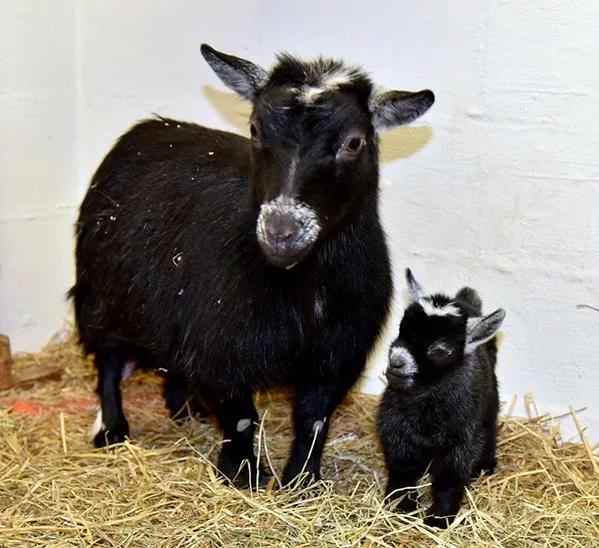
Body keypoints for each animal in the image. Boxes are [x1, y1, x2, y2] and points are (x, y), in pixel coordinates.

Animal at [70, 45, 436, 486]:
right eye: (255, 128)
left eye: (354, 142)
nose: (281, 230)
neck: (300, 285)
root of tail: (147, 128)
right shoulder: (223, 349)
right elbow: (242, 418)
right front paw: (243, 475)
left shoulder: (337, 353)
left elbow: (314, 420)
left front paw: (301, 481)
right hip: (102, 294)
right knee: (107, 361)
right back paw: (112, 430)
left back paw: (185, 410)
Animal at [380, 268, 506, 528]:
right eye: (401, 329)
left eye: (440, 350)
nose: (397, 363)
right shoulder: (396, 431)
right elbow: (402, 470)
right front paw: (400, 506)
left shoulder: (460, 441)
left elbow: (449, 479)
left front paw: (439, 518)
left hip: (490, 402)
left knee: (490, 426)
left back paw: (486, 466)